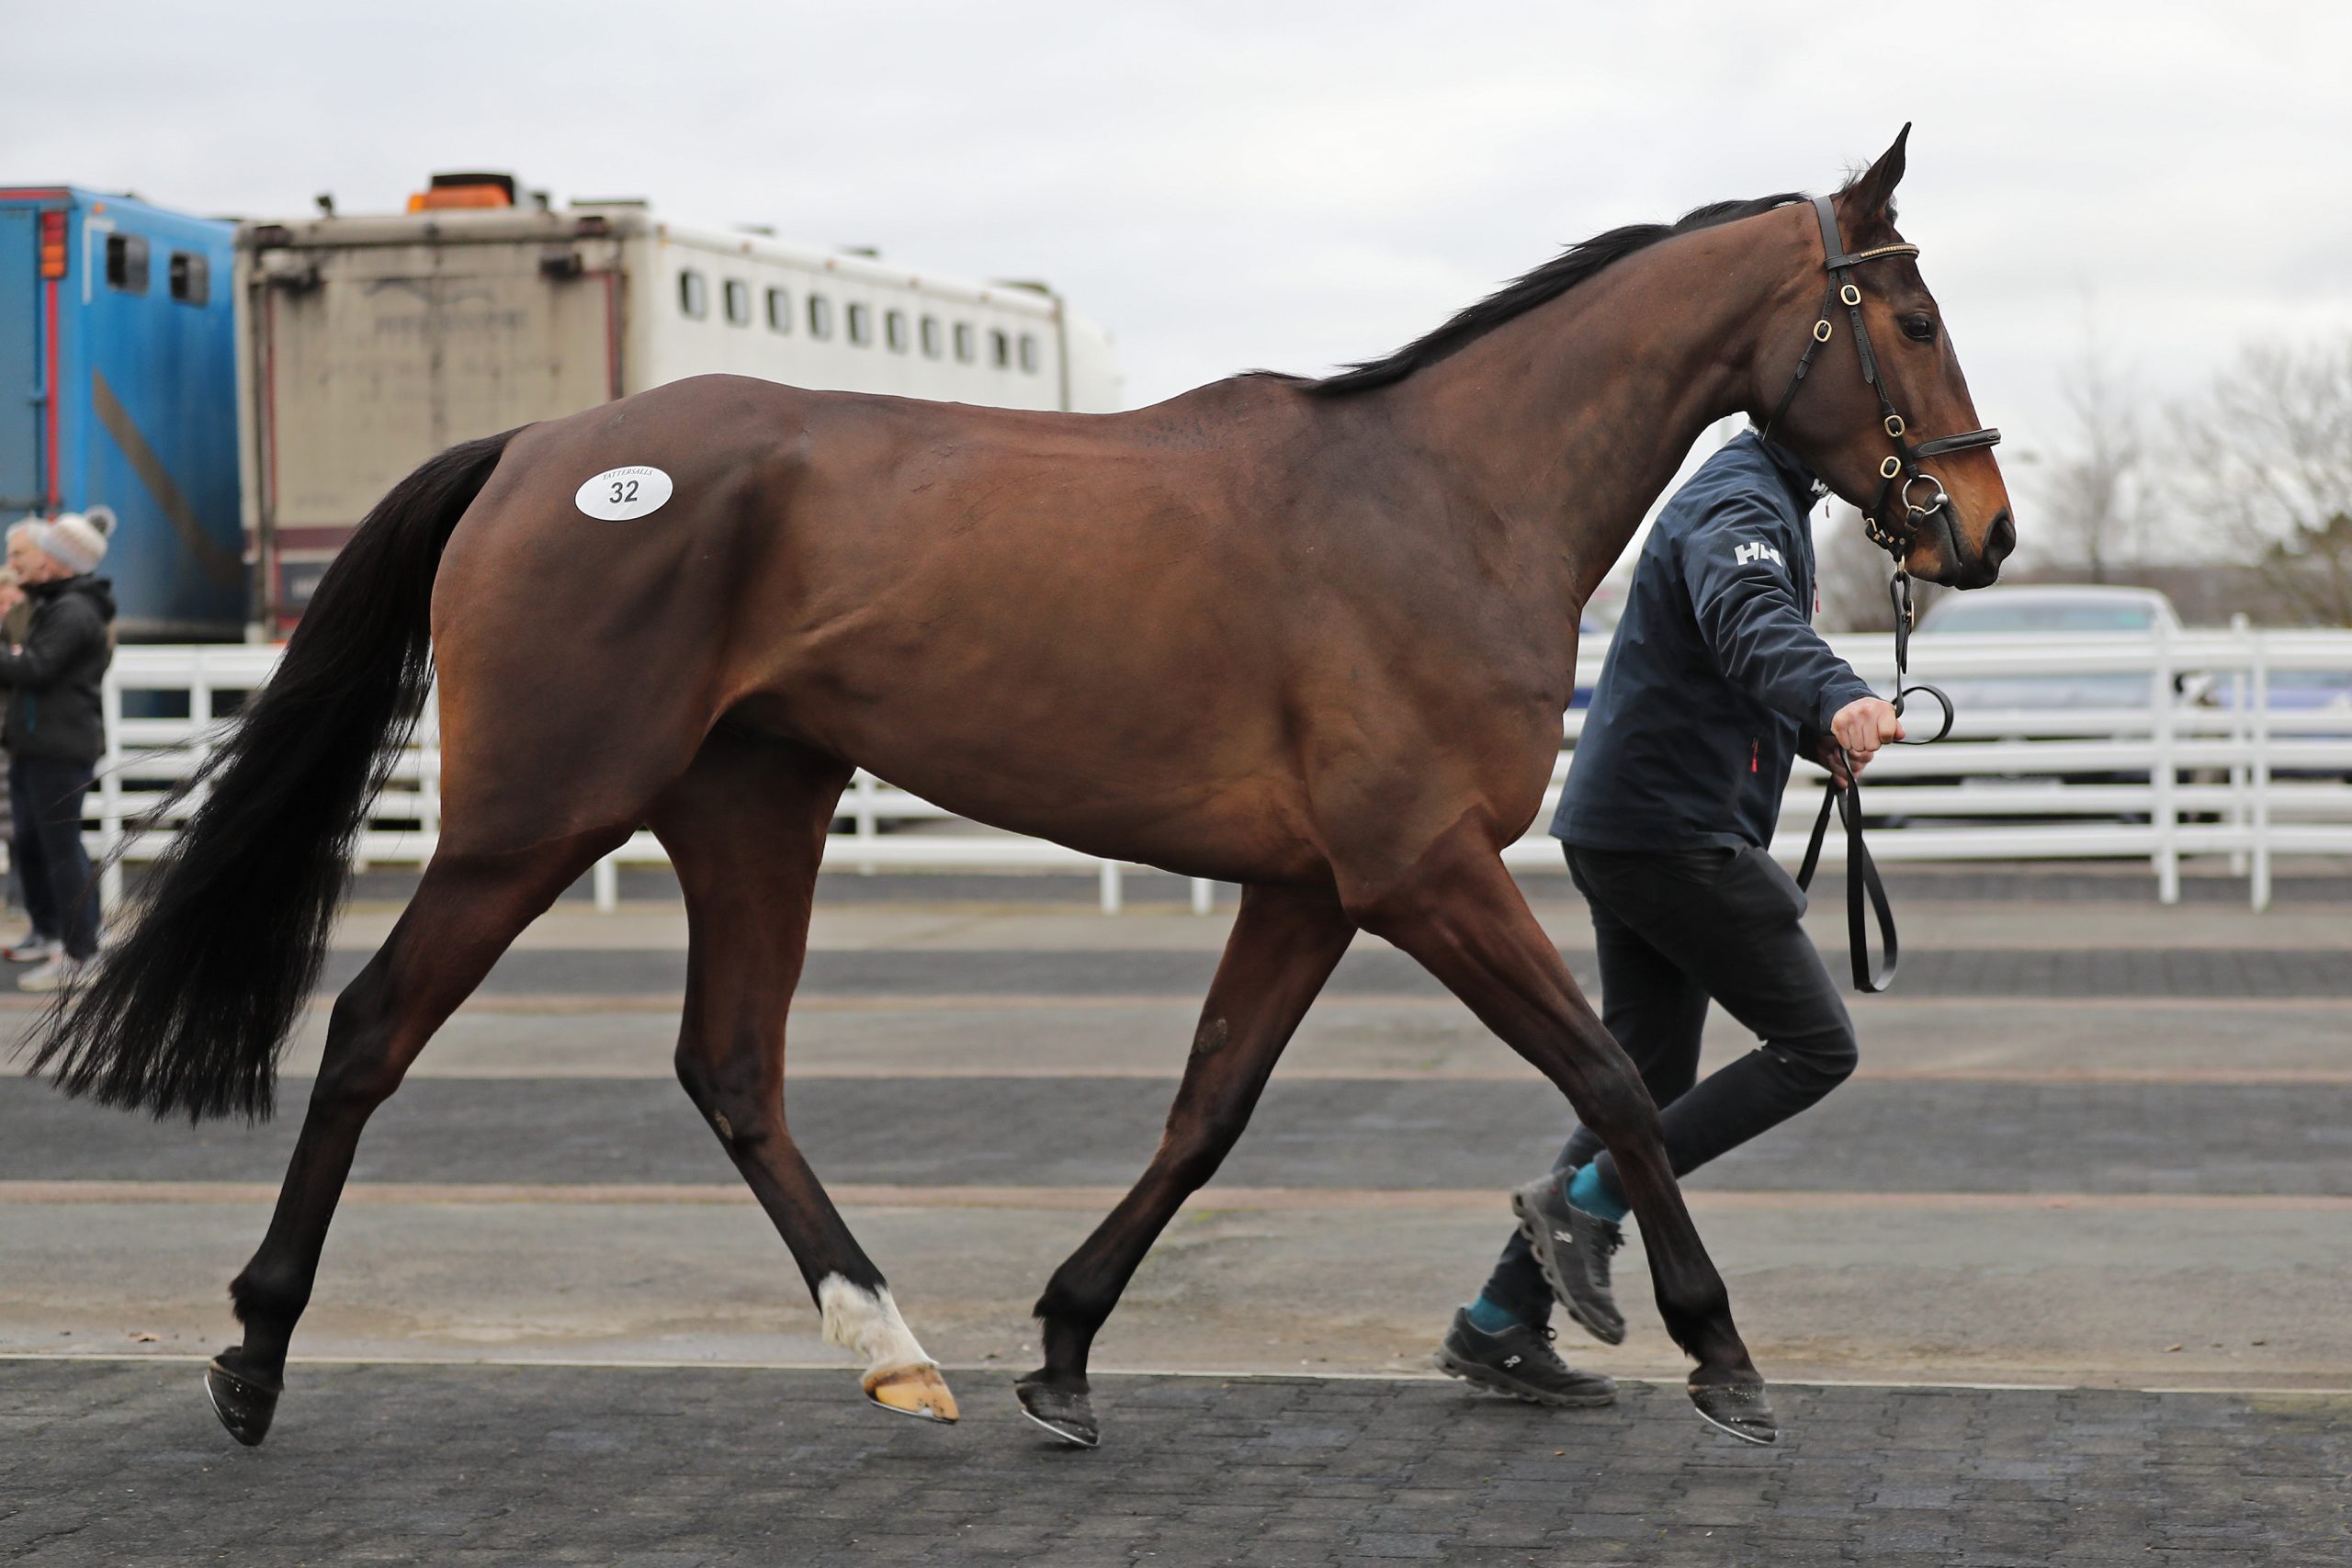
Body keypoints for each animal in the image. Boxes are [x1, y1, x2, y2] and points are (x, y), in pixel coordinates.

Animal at [29, 125, 2011, 1452]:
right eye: (1909, 310)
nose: (1979, 529)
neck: (1442, 498)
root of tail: (539, 448)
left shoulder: (1310, 886)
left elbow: (1207, 1110)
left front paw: (1060, 1346)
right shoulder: (1420, 868)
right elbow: (1604, 1074)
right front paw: (1719, 1352)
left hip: (752, 807)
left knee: (730, 1067)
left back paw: (895, 1346)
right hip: (535, 816)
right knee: (372, 1029)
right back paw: (253, 1354)